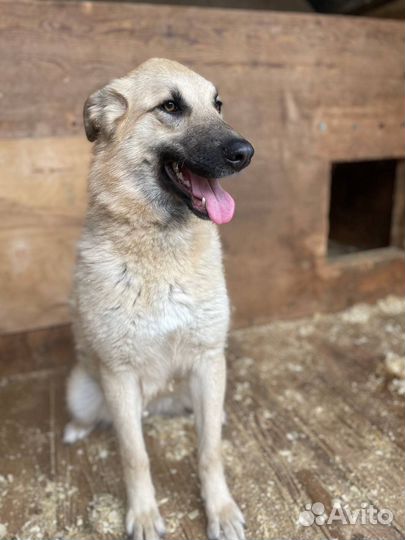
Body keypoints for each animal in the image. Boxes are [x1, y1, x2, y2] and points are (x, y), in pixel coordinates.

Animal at [64, 58, 252, 540]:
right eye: (170, 106)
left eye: (217, 104)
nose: (246, 152)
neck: (160, 246)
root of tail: (158, 404)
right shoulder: (119, 375)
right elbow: (135, 456)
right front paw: (145, 514)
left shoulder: (208, 359)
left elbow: (210, 451)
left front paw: (220, 509)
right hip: (84, 388)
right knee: (97, 417)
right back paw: (76, 429)